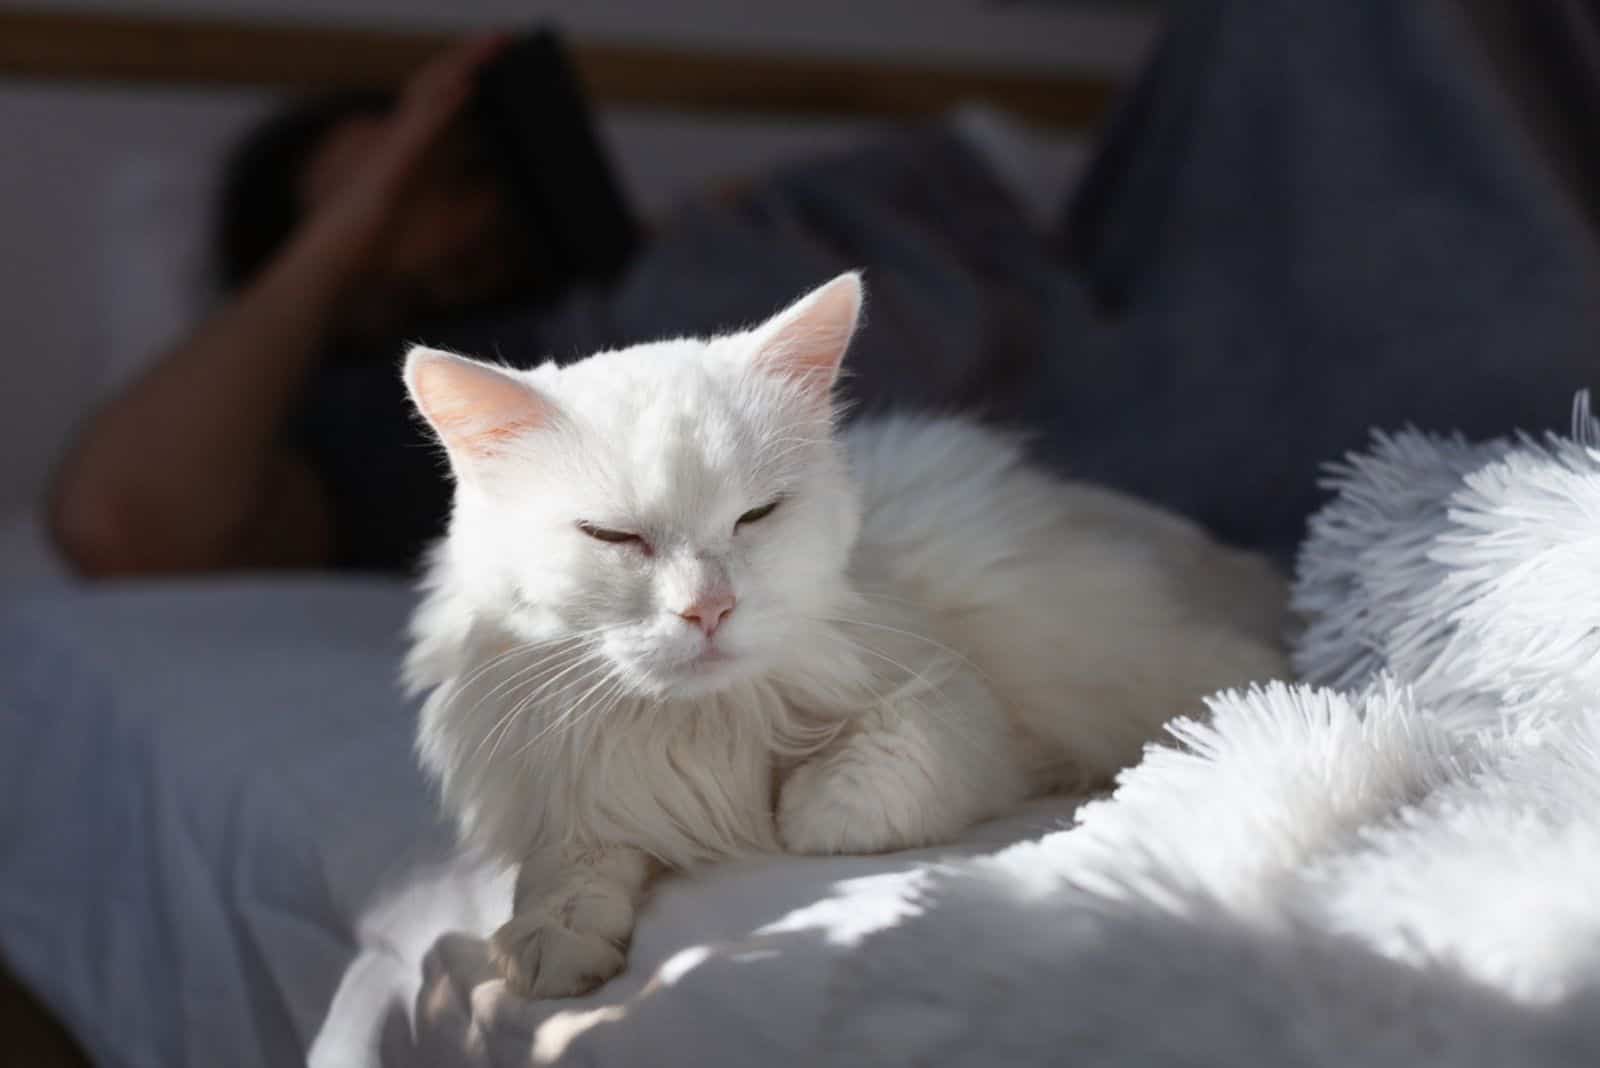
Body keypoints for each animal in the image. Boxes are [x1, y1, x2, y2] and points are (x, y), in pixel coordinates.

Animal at [400, 273, 1286, 1004]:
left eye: (755, 516)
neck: (700, 726)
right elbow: (567, 867)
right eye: (614, 537)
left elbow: (848, 798)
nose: (709, 610)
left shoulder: (959, 704)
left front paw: (792, 812)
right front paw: (546, 944)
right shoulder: (578, 781)